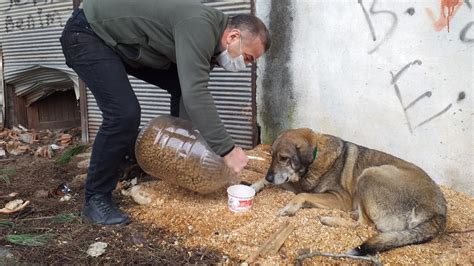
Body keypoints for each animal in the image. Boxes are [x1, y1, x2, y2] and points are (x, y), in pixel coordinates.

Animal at [252, 129, 448, 256]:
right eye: (271, 155)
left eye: (283, 158)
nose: (270, 176)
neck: (315, 156)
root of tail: (439, 213)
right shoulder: (295, 183)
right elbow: (277, 185)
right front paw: (255, 186)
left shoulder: (340, 198)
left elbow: (302, 195)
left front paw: (289, 208)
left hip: (370, 174)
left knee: (365, 225)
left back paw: (329, 219)